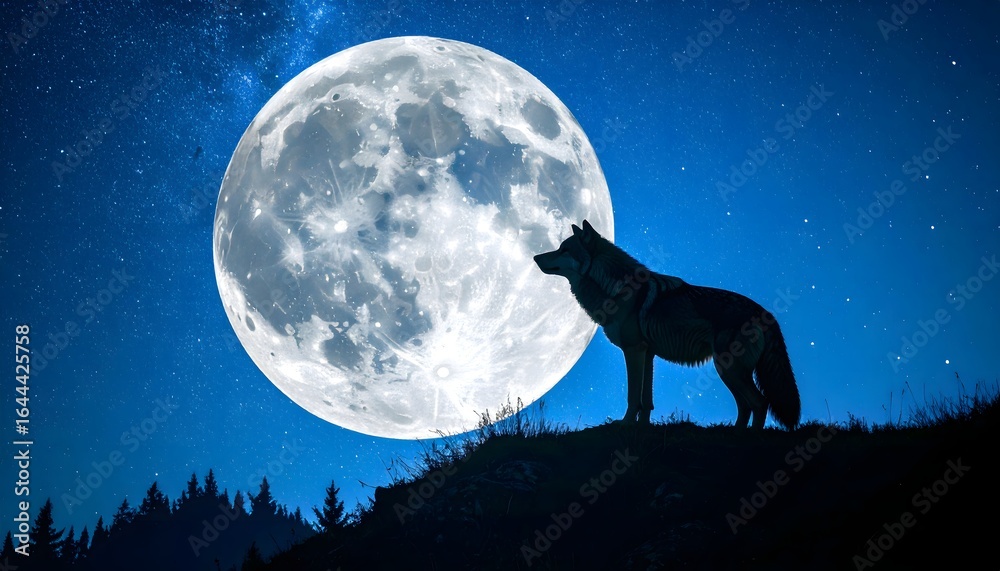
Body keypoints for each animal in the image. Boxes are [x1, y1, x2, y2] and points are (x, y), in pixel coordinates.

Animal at [533, 220, 800, 430]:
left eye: (564, 249)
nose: (535, 257)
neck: (616, 287)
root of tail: (765, 312)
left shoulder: (634, 350)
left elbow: (633, 396)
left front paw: (625, 424)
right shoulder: (648, 353)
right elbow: (646, 400)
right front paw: (641, 427)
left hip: (729, 368)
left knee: (760, 403)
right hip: (727, 370)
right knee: (746, 406)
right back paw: (735, 433)